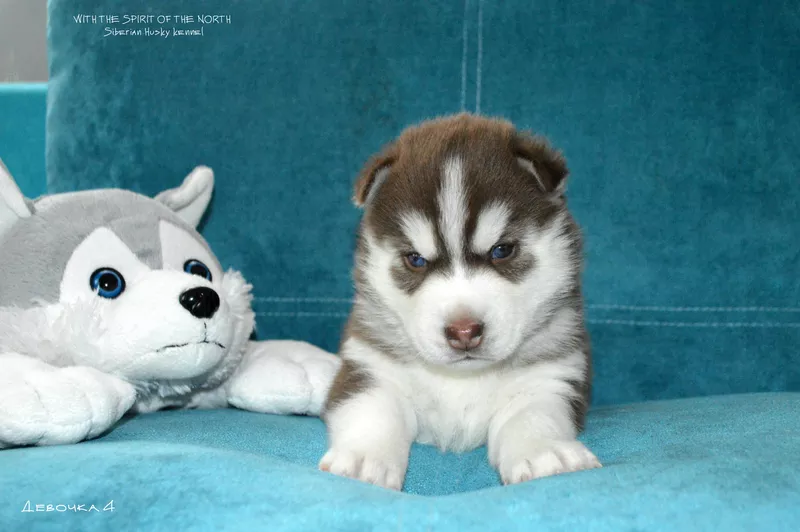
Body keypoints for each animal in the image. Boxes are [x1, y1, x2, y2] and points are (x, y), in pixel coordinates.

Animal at [318, 113, 600, 490]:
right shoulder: (370, 367)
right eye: (416, 259)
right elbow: (374, 411)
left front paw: (545, 452)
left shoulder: (550, 376)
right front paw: (365, 459)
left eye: (501, 250)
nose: (464, 331)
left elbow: (532, 416)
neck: (462, 380)